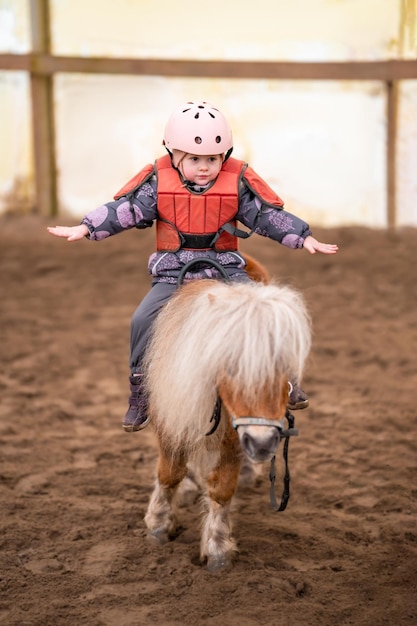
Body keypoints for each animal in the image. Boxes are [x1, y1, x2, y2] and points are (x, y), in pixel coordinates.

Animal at [142, 256, 308, 568]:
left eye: (283, 366)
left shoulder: (233, 436)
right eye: (230, 365)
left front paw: (217, 547)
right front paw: (158, 525)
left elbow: (222, 488)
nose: (262, 442)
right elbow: (169, 473)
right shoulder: (171, 419)